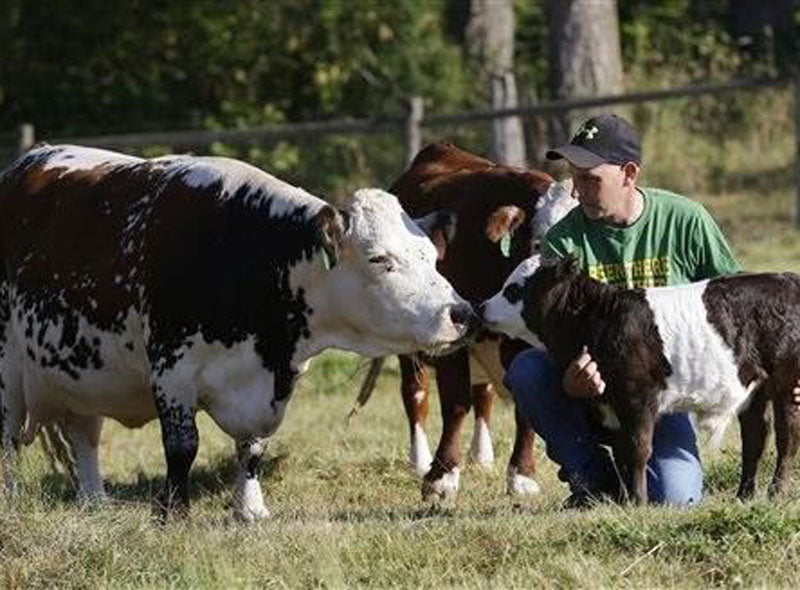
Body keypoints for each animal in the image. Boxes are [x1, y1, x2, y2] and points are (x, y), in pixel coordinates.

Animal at [0, 146, 476, 520]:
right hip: (8, 370)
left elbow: (252, 448)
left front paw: (250, 508)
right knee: (8, 440)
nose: (462, 313)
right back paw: (11, 500)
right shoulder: (172, 369)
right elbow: (182, 445)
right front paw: (174, 512)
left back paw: (95, 501)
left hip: (83, 375)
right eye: (379, 259)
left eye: (432, 256)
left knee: (84, 434)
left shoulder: (270, 383)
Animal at [356, 143, 576, 500]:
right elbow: (456, 404)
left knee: (483, 394)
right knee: (415, 394)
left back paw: (482, 455)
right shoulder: (452, 336)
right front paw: (442, 476)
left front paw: (521, 475)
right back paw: (420, 460)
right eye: (539, 243)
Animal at [482, 256, 800, 506]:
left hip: (785, 383)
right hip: (755, 391)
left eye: (513, 290)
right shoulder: (613, 403)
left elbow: (637, 449)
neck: (597, 319)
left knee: (786, 439)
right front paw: (625, 500)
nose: (482, 307)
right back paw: (744, 496)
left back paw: (775, 493)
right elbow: (623, 451)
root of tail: (787, 278)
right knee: (756, 438)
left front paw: (638, 502)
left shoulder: (638, 396)